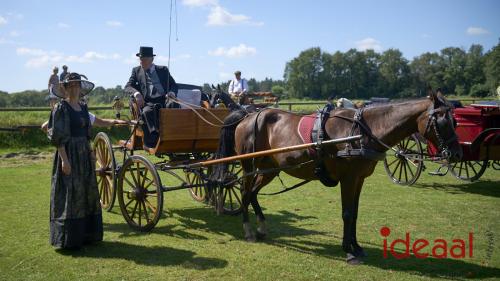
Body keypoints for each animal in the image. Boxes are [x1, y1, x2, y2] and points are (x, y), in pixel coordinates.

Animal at [211, 89, 460, 262]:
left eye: (456, 121)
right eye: (442, 122)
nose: (456, 153)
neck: (361, 132)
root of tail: (247, 115)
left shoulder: (359, 179)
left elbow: (355, 213)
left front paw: (356, 246)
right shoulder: (348, 179)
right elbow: (347, 214)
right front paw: (348, 250)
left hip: (269, 169)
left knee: (253, 193)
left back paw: (261, 227)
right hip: (248, 166)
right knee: (245, 192)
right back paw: (248, 230)